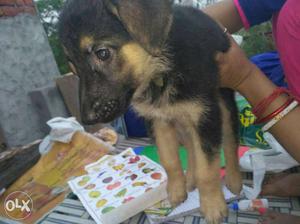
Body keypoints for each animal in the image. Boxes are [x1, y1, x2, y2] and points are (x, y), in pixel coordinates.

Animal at [58, 0, 241, 223]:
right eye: (73, 68)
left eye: (102, 53)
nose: (87, 119)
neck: (158, 73)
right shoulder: (158, 120)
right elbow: (169, 159)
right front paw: (176, 190)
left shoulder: (205, 115)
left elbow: (207, 169)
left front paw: (213, 206)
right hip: (181, 120)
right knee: (190, 146)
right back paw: (190, 179)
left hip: (224, 102)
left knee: (230, 141)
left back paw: (234, 180)